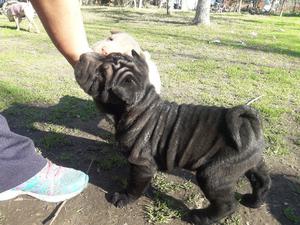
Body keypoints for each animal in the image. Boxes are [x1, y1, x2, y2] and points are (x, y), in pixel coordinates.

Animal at [74, 51, 270, 225]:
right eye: (105, 55)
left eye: (102, 73)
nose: (82, 56)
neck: (139, 108)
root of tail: (248, 123)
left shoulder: (142, 164)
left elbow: (134, 185)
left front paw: (123, 197)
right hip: (248, 162)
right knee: (262, 181)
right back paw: (254, 201)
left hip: (214, 174)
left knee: (227, 204)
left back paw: (200, 217)